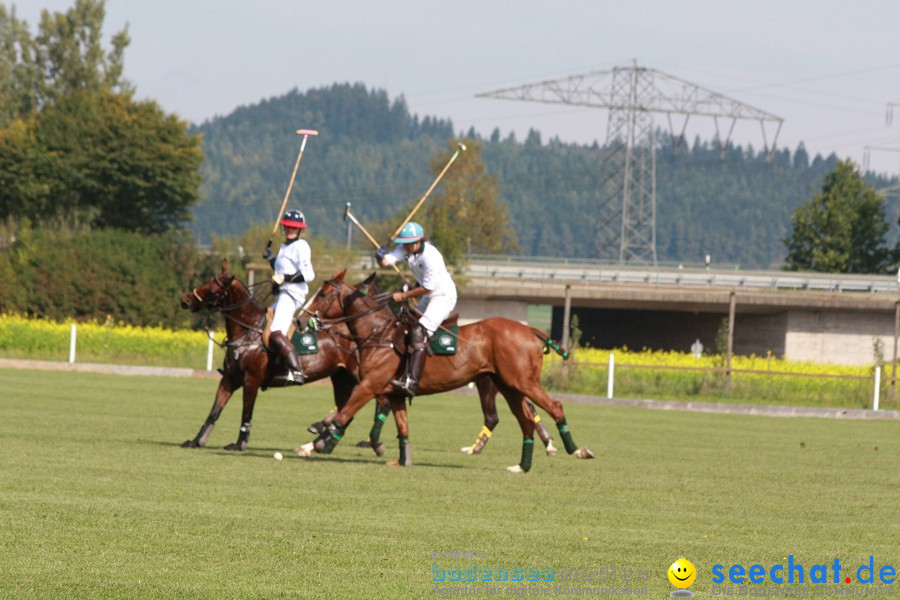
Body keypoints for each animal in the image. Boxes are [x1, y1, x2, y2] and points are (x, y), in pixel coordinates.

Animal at [298, 272, 596, 474]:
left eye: (323, 293)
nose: (301, 320)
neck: (378, 334)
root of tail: (530, 330)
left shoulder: (369, 386)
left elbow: (343, 414)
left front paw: (312, 446)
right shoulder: (392, 393)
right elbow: (402, 427)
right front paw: (402, 459)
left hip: (521, 381)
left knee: (553, 407)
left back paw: (576, 450)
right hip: (507, 385)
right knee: (525, 420)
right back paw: (522, 465)